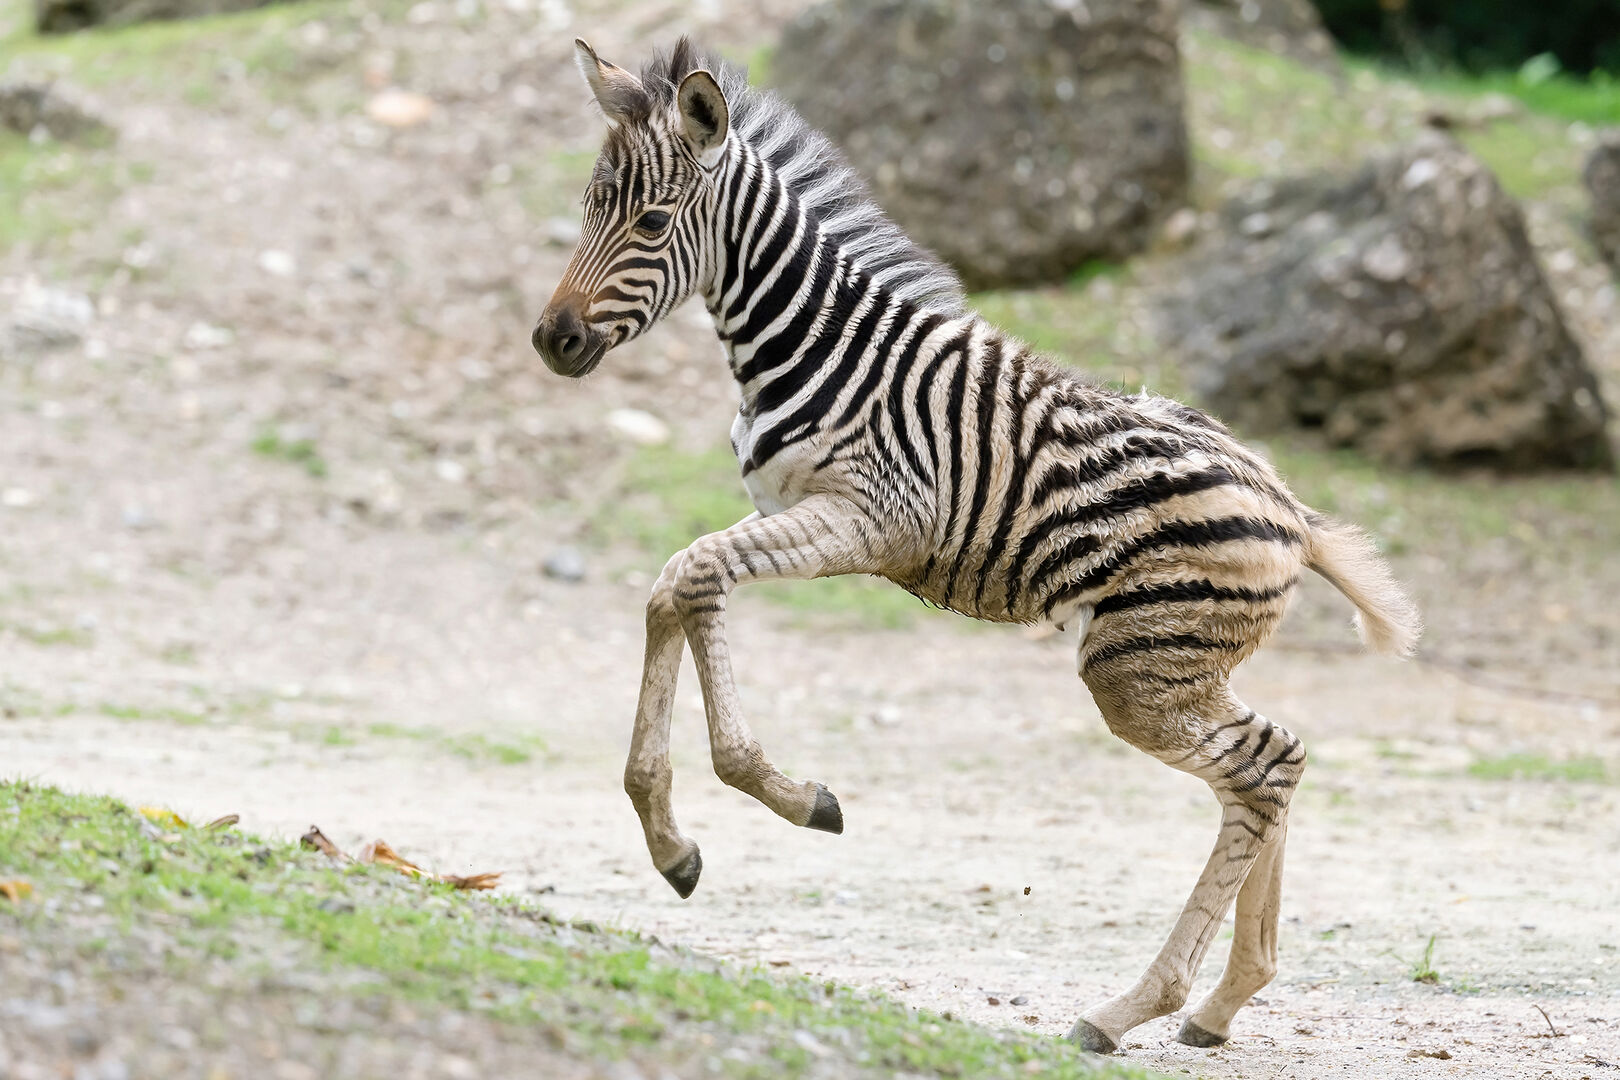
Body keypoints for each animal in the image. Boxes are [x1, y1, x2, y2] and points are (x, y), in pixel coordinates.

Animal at [532, 37, 1420, 1055]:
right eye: (590, 205)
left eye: (650, 220)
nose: (552, 340)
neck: (815, 345)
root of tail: (1290, 507)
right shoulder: (785, 511)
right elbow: (673, 584)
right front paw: (670, 843)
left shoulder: (870, 518)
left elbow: (697, 579)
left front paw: (786, 796)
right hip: (1174, 659)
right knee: (1278, 761)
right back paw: (1224, 999)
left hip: (1138, 668)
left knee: (1263, 769)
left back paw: (1130, 1010)